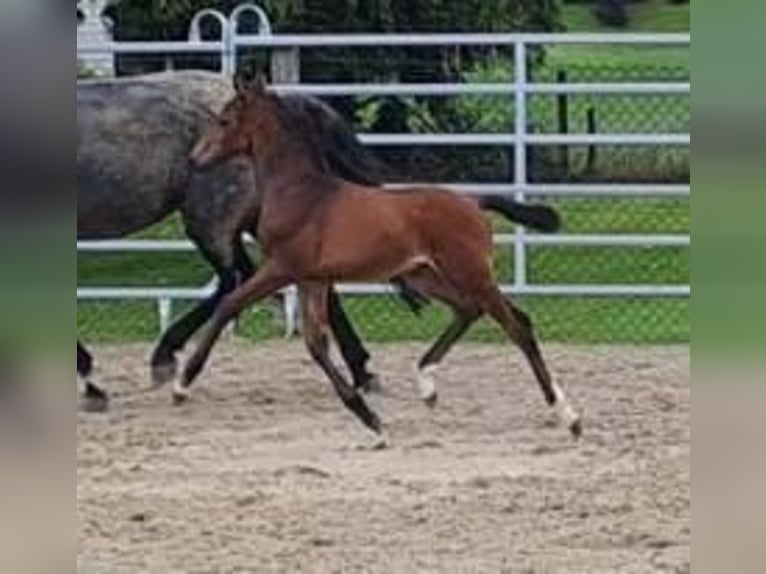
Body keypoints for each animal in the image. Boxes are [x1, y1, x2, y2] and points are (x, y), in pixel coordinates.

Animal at [182, 77, 584, 440]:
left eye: (225, 120)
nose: (195, 158)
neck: (302, 192)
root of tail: (474, 201)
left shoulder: (282, 268)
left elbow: (230, 304)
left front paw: (183, 381)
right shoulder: (313, 278)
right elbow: (315, 343)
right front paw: (369, 418)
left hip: (470, 273)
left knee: (518, 325)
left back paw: (568, 417)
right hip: (426, 274)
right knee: (469, 310)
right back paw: (426, 384)